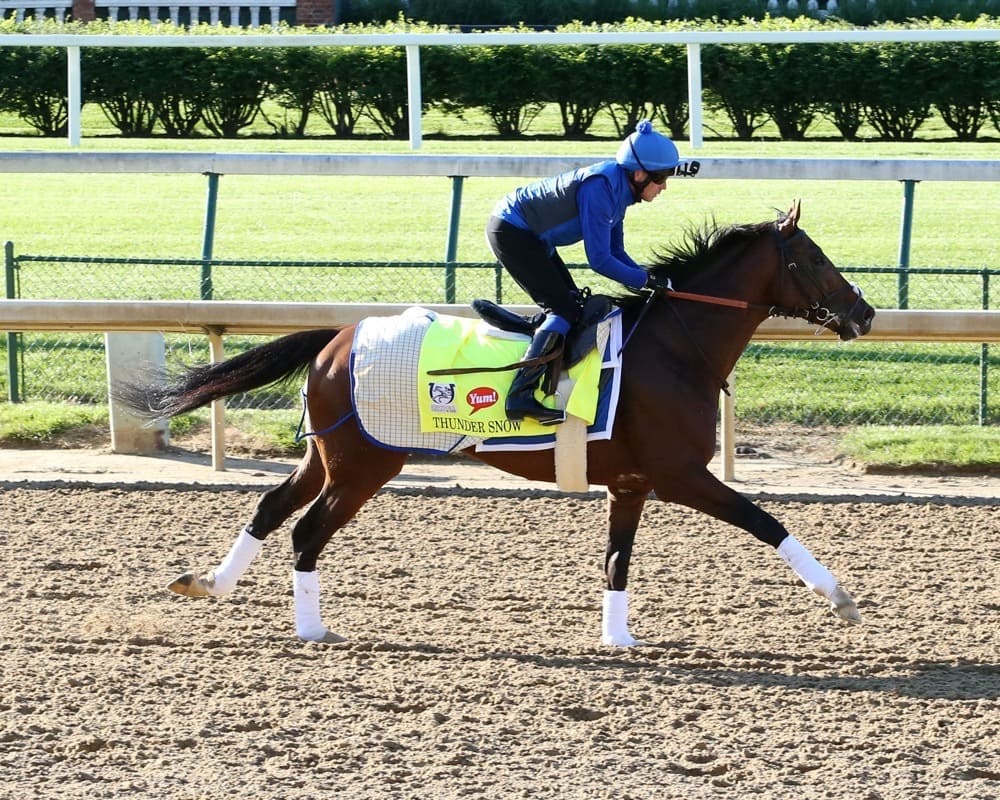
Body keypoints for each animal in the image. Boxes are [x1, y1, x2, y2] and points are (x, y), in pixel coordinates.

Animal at [123, 203, 876, 648]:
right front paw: (841, 598)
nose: (864, 313)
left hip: (329, 454)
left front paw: (618, 640)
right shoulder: (681, 474)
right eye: (814, 257)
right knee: (307, 531)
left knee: (272, 506)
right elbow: (766, 522)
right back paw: (313, 629)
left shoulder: (632, 482)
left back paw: (209, 584)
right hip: (367, 463)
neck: (674, 347)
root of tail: (337, 336)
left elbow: (617, 561)